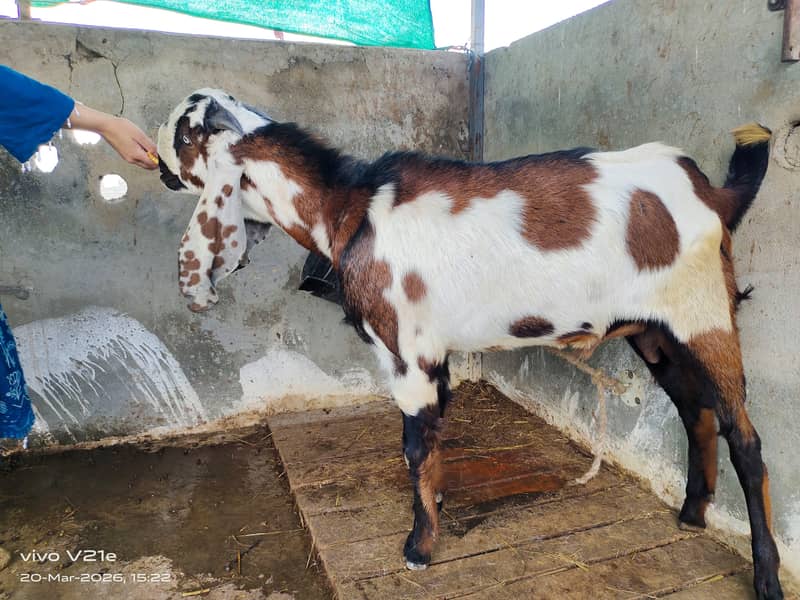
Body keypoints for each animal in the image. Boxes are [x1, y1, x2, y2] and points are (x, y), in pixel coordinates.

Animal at [157, 89, 782, 599]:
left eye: (183, 134)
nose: (158, 167)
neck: (348, 208)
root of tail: (713, 194)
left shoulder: (407, 350)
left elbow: (415, 445)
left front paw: (418, 548)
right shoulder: (429, 354)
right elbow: (431, 441)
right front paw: (433, 517)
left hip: (705, 316)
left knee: (745, 440)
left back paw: (766, 577)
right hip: (657, 333)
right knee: (698, 415)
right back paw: (693, 514)